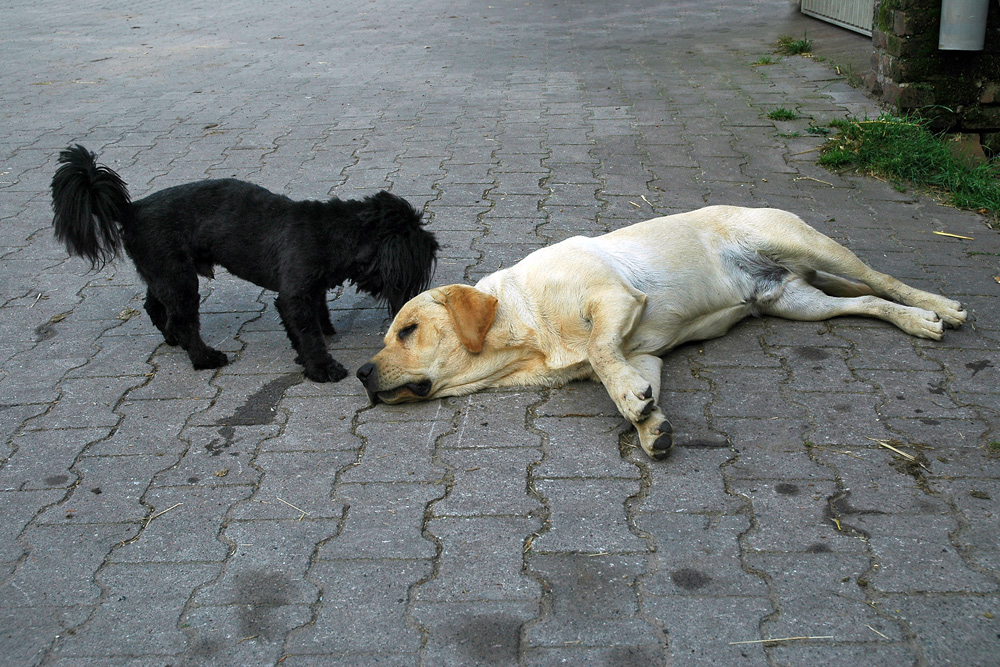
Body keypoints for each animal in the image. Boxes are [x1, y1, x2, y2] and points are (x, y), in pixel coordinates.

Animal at [51, 145, 438, 380]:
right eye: (415, 243)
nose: (434, 242)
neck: (334, 231)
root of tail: (132, 210)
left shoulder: (309, 290)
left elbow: (314, 318)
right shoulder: (294, 294)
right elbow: (307, 332)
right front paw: (321, 366)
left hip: (164, 273)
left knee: (155, 306)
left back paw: (173, 339)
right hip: (180, 280)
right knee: (183, 320)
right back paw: (204, 357)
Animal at [356, 206, 964, 460]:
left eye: (407, 330)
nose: (360, 373)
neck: (526, 328)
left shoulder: (616, 299)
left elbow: (601, 354)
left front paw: (630, 401)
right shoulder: (644, 355)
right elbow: (625, 373)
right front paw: (650, 423)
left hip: (806, 244)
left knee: (881, 279)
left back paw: (938, 307)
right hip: (799, 304)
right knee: (865, 301)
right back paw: (914, 319)